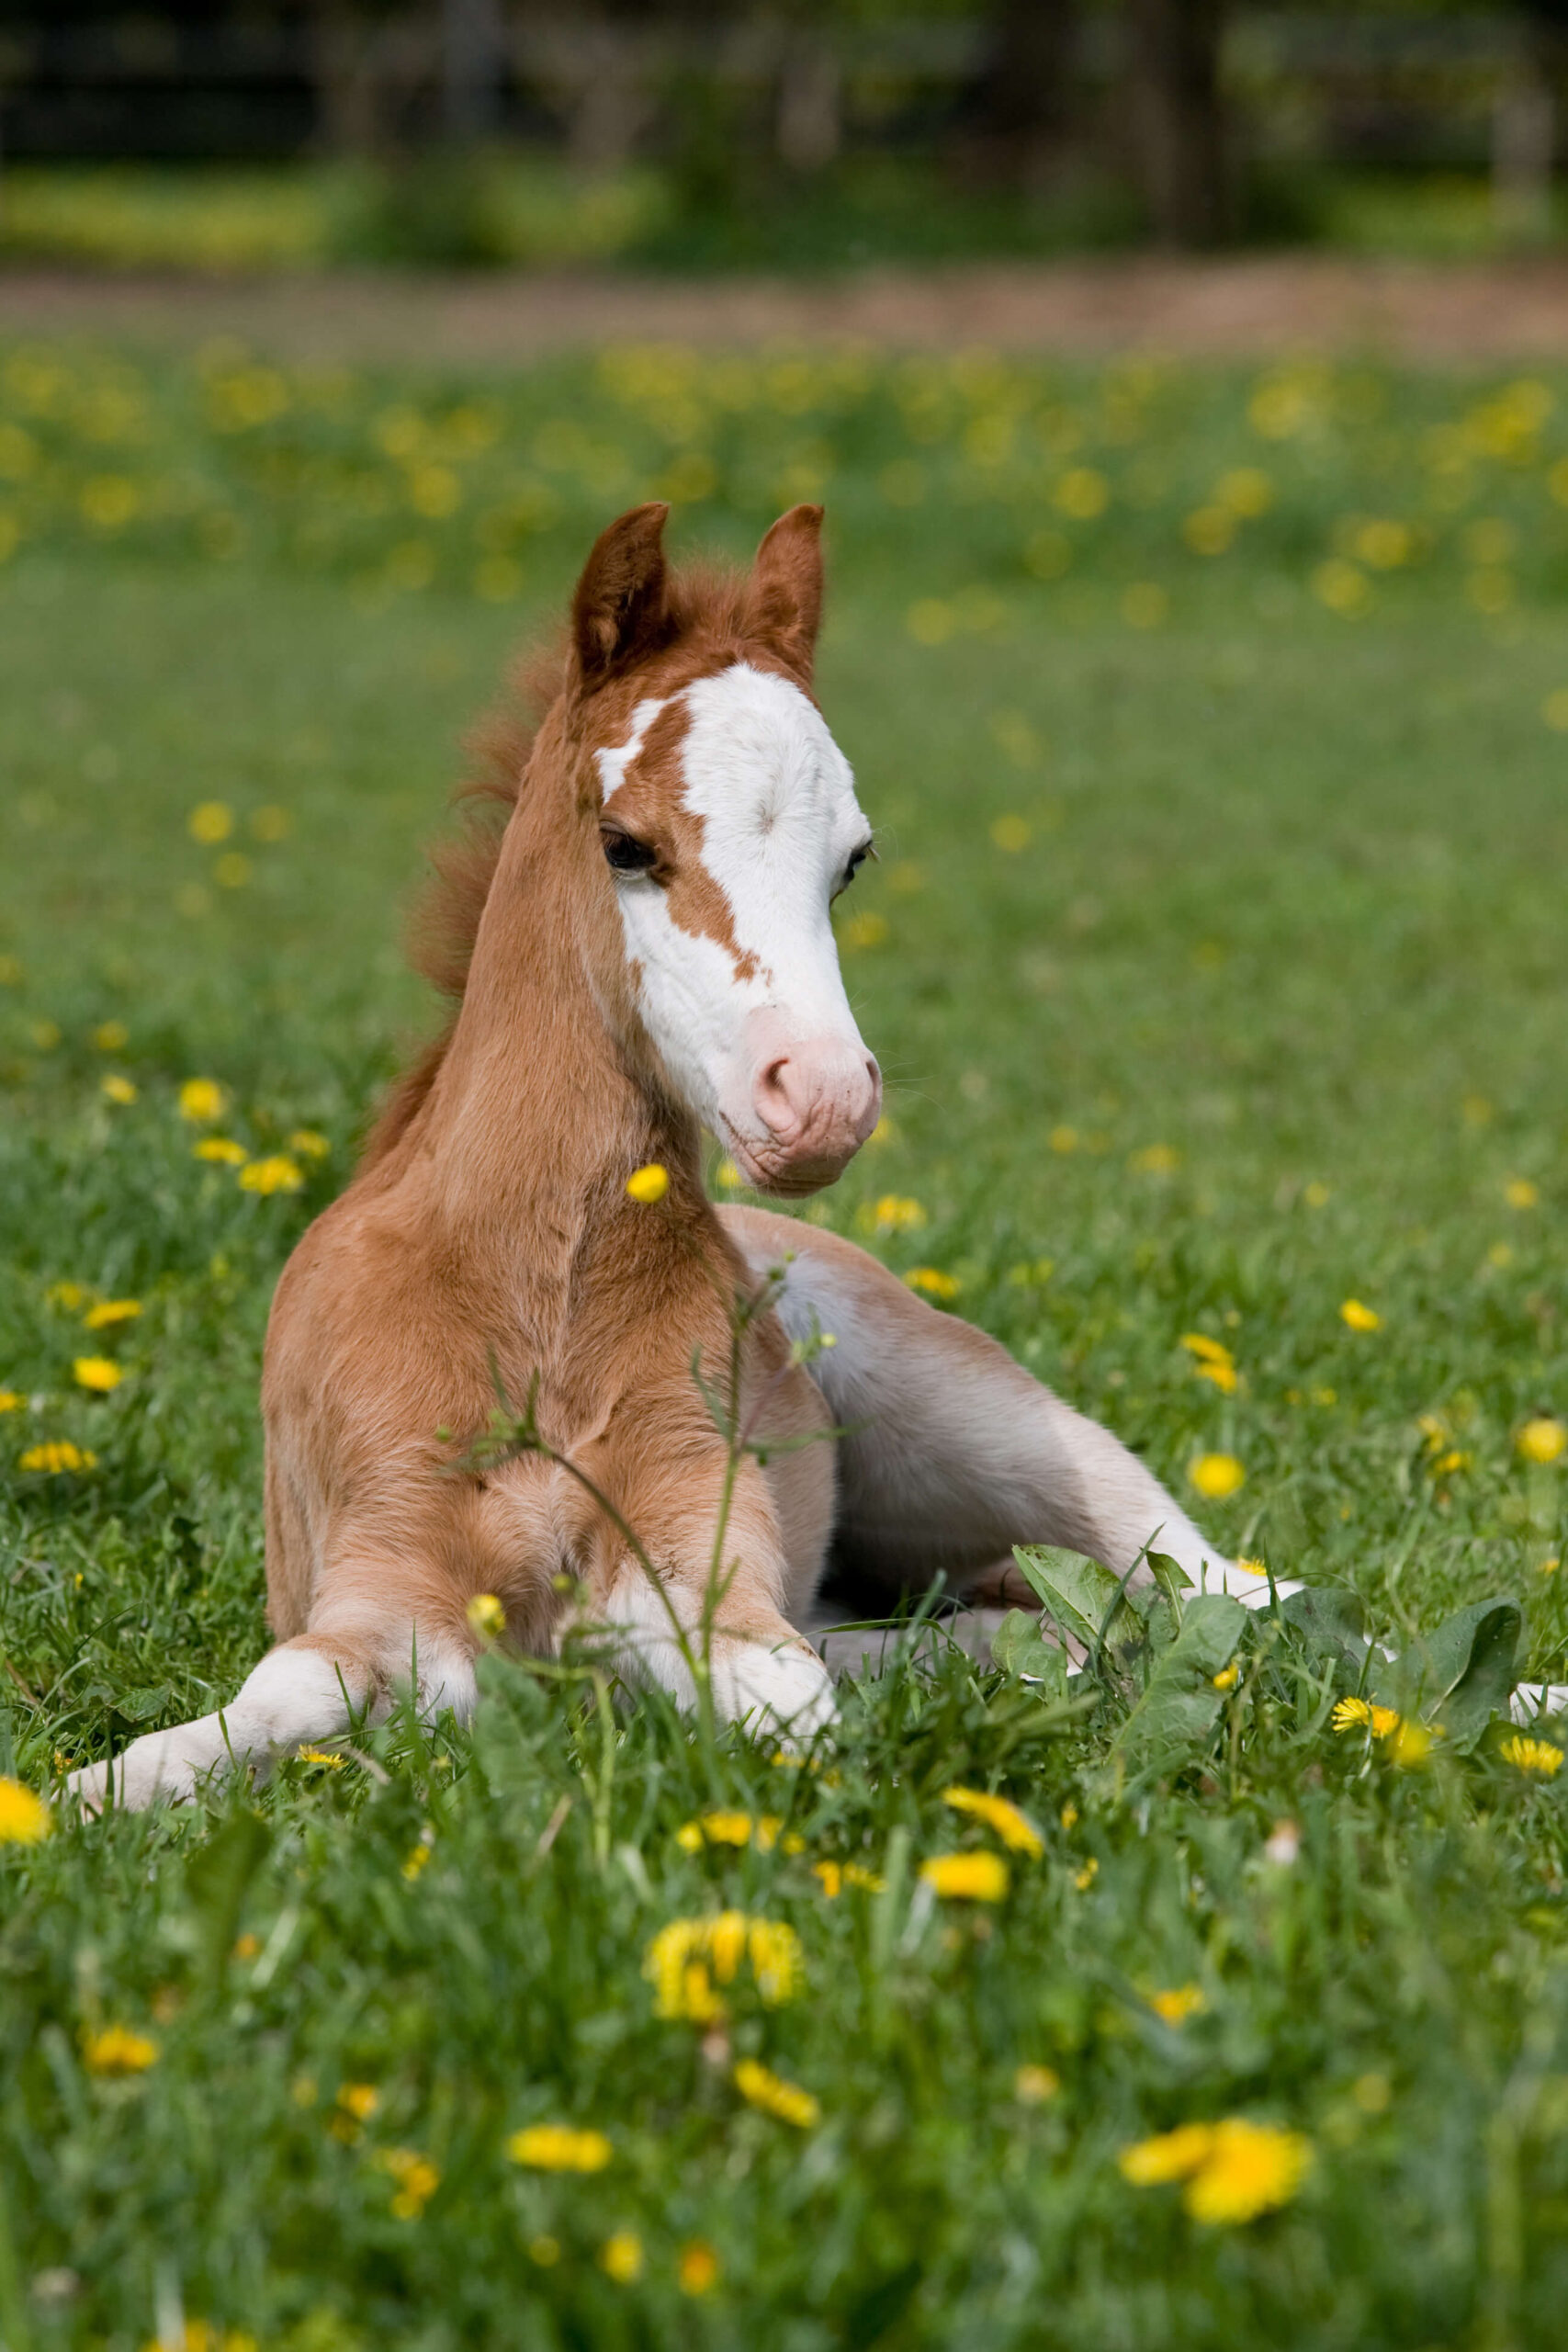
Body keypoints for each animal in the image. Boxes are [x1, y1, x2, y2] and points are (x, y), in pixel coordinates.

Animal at [71, 499, 1297, 1813]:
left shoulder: (699, 1571)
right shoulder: (383, 1579)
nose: (822, 1099)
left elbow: (788, 1703)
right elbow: (258, 1711)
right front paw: (82, 1795)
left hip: (980, 1424)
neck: (533, 1306)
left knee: (1235, 1591)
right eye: (625, 842)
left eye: (852, 859)